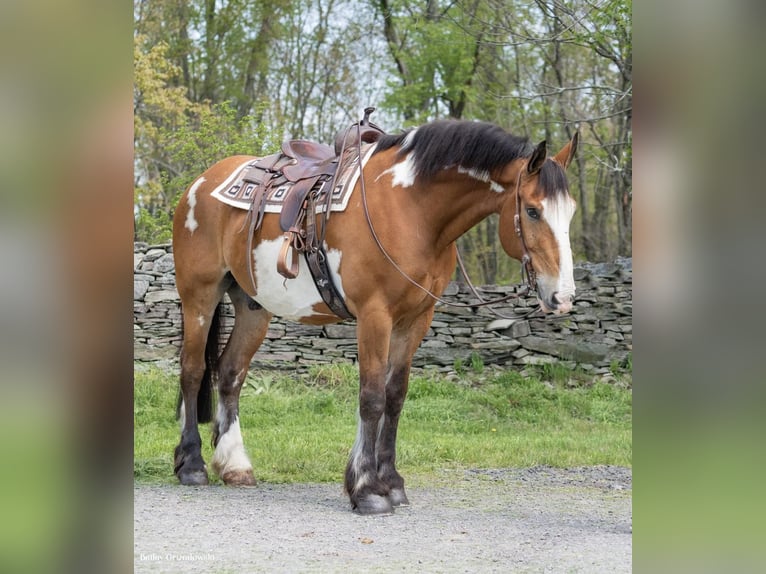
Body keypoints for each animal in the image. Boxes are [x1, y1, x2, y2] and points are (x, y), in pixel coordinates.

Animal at [172, 118, 584, 516]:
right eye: (532, 210)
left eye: (571, 213)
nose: (562, 297)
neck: (413, 209)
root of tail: (201, 182)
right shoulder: (374, 314)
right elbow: (371, 397)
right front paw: (368, 490)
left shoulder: (415, 319)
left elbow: (395, 396)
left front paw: (391, 483)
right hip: (199, 296)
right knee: (193, 370)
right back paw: (192, 464)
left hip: (254, 306)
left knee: (230, 373)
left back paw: (235, 465)